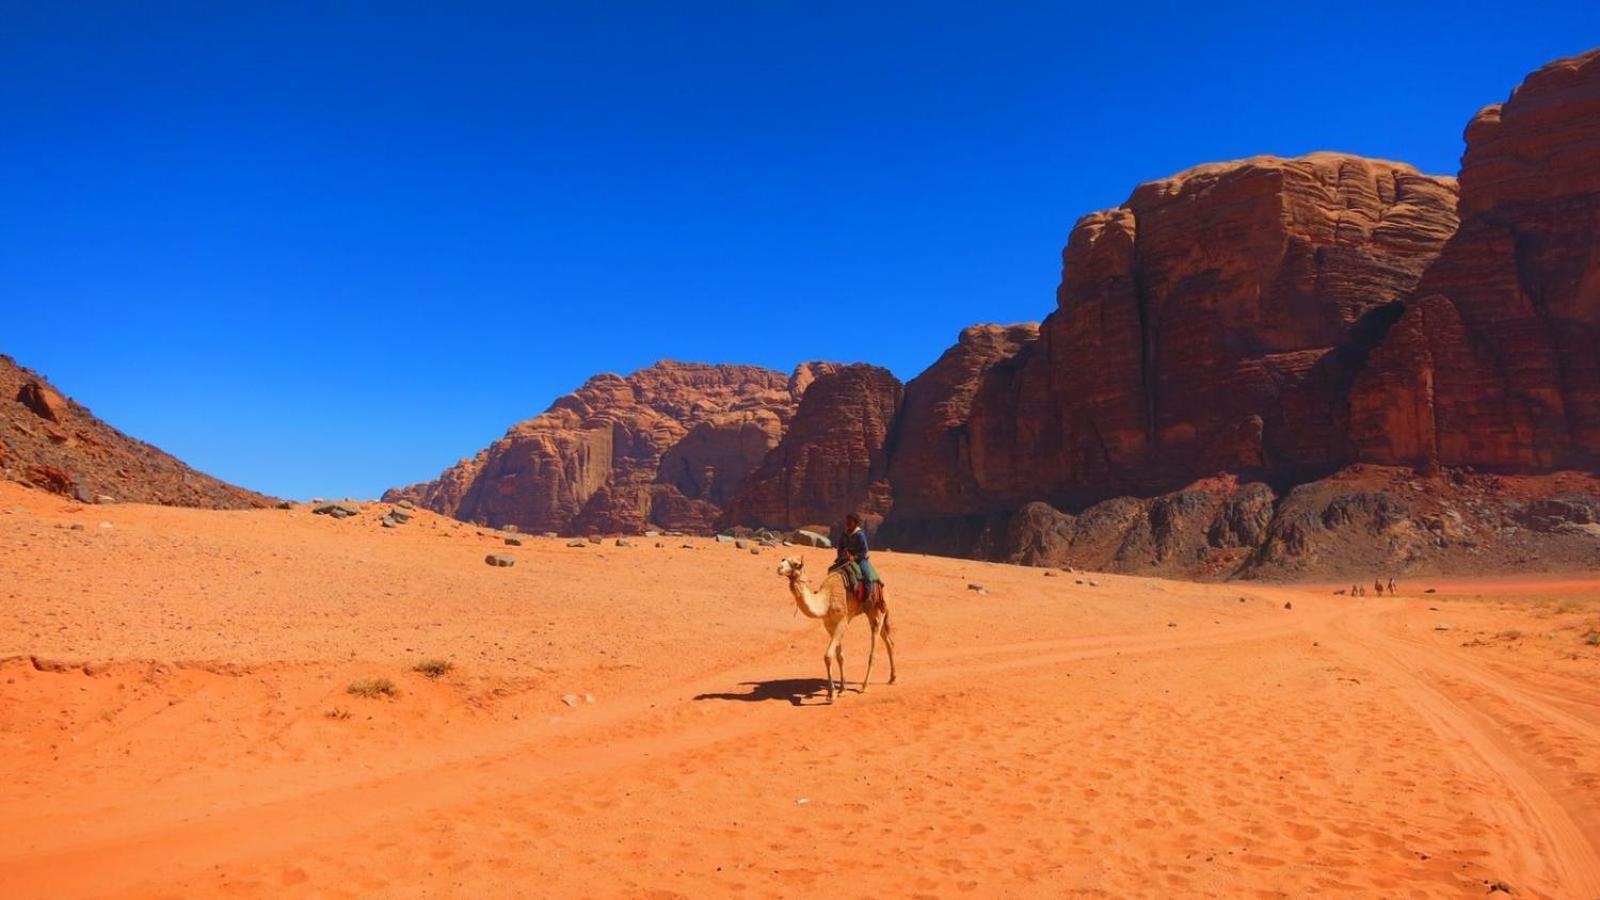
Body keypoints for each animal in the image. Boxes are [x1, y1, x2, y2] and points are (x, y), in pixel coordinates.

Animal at [777, 554, 896, 701]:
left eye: (796, 564)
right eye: (783, 559)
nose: (779, 568)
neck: (826, 601)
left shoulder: (842, 622)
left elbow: (828, 656)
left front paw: (831, 694)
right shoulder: (829, 625)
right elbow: (840, 657)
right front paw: (842, 689)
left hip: (877, 610)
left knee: (874, 648)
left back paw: (864, 686)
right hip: (875, 614)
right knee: (889, 642)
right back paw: (892, 678)